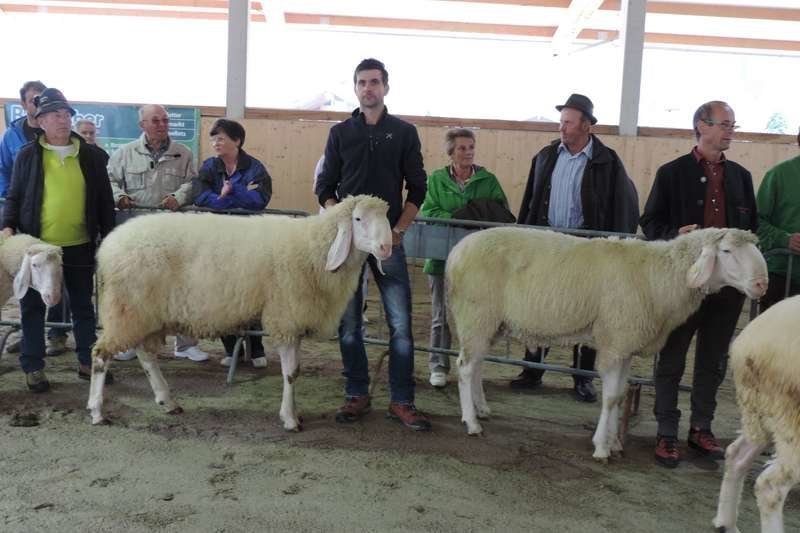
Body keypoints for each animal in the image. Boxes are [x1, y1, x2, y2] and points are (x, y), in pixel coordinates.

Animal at [86, 193, 392, 430]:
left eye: (387, 218)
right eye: (358, 219)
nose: (387, 247)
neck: (314, 247)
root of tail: (108, 245)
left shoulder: (292, 321)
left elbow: (295, 372)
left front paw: (292, 413)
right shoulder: (285, 317)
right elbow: (290, 374)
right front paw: (290, 419)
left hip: (146, 313)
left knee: (146, 355)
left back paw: (168, 401)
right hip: (127, 308)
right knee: (101, 355)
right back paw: (97, 411)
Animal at [446, 227, 764, 460]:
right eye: (726, 251)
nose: (762, 285)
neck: (658, 276)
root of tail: (457, 250)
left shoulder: (624, 344)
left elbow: (620, 395)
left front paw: (614, 443)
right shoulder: (615, 342)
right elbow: (610, 397)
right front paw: (601, 447)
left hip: (490, 322)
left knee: (476, 365)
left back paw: (481, 409)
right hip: (477, 314)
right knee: (465, 367)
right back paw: (471, 422)